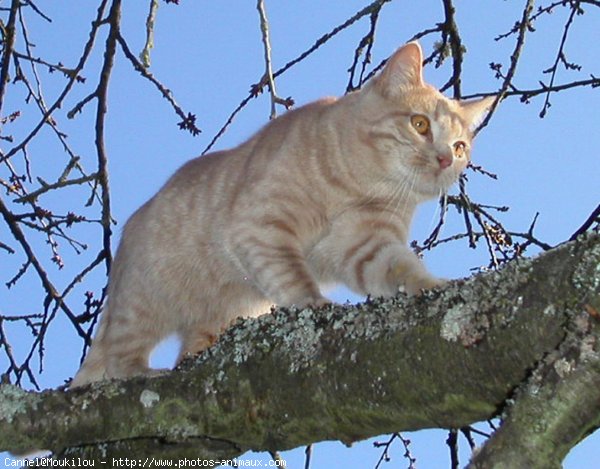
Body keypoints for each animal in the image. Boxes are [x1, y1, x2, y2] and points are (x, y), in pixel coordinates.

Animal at [69, 43, 492, 388]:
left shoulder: (365, 245)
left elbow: (403, 268)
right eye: (420, 124)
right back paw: (144, 372)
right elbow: (293, 277)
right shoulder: (262, 226)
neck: (362, 187)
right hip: (144, 304)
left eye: (459, 147)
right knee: (118, 359)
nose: (444, 160)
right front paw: (315, 305)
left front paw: (434, 285)